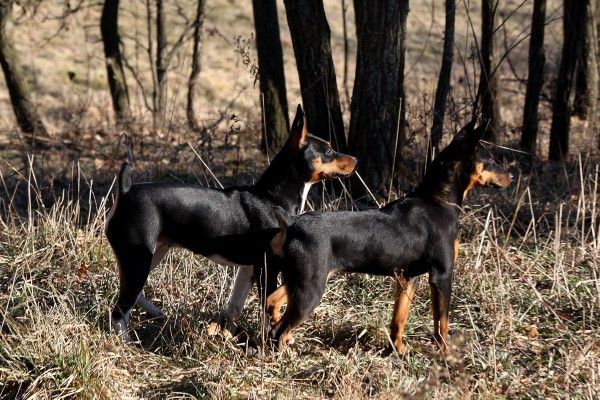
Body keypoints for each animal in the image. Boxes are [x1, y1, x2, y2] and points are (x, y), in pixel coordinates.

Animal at [105, 105, 357, 341]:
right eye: (328, 150)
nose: (355, 159)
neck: (271, 198)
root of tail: (125, 191)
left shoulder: (248, 269)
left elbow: (235, 306)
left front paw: (225, 333)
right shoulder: (267, 268)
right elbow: (268, 309)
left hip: (152, 255)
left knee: (134, 295)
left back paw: (157, 314)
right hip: (138, 259)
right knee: (120, 311)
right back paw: (126, 342)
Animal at [265, 120, 512, 355]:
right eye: (490, 159)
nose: (510, 176)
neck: (438, 201)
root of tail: (291, 223)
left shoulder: (408, 278)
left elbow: (399, 319)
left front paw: (398, 350)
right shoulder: (441, 276)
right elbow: (441, 324)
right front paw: (446, 356)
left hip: (299, 279)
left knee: (271, 303)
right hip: (311, 287)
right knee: (279, 329)